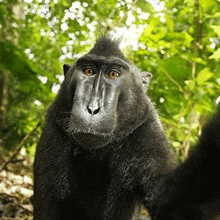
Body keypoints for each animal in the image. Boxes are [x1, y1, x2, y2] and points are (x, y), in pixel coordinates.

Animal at [33, 37, 220, 219]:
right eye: (88, 71)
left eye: (113, 74)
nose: (92, 108)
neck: (96, 151)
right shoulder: (55, 130)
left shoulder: (146, 131)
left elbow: (170, 203)